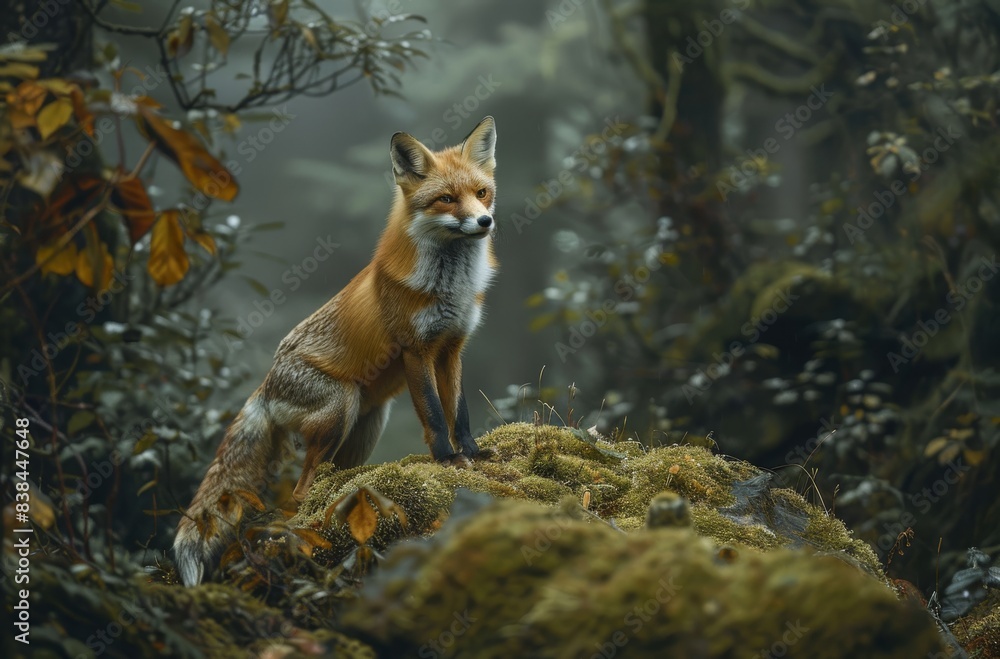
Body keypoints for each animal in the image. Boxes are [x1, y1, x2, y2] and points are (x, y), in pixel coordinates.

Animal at [173, 117, 499, 586]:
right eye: (447, 199)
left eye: (482, 192)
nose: (485, 221)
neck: (449, 287)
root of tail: (265, 385)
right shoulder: (416, 351)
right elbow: (437, 417)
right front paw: (446, 460)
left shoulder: (452, 348)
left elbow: (460, 411)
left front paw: (470, 453)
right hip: (340, 407)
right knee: (300, 490)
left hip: (366, 425)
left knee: (328, 477)